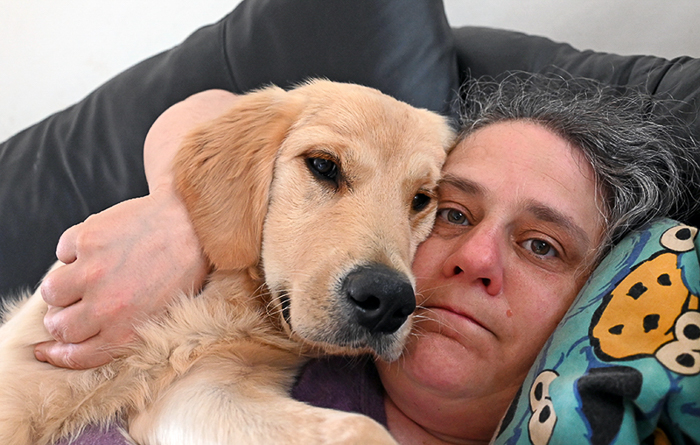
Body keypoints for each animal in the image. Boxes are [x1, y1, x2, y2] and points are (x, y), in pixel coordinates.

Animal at [0, 80, 453, 445]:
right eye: (324, 165)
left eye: (422, 200)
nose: (388, 301)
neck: (235, 299)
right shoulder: (19, 388)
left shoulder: (201, 392)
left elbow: (358, 426)